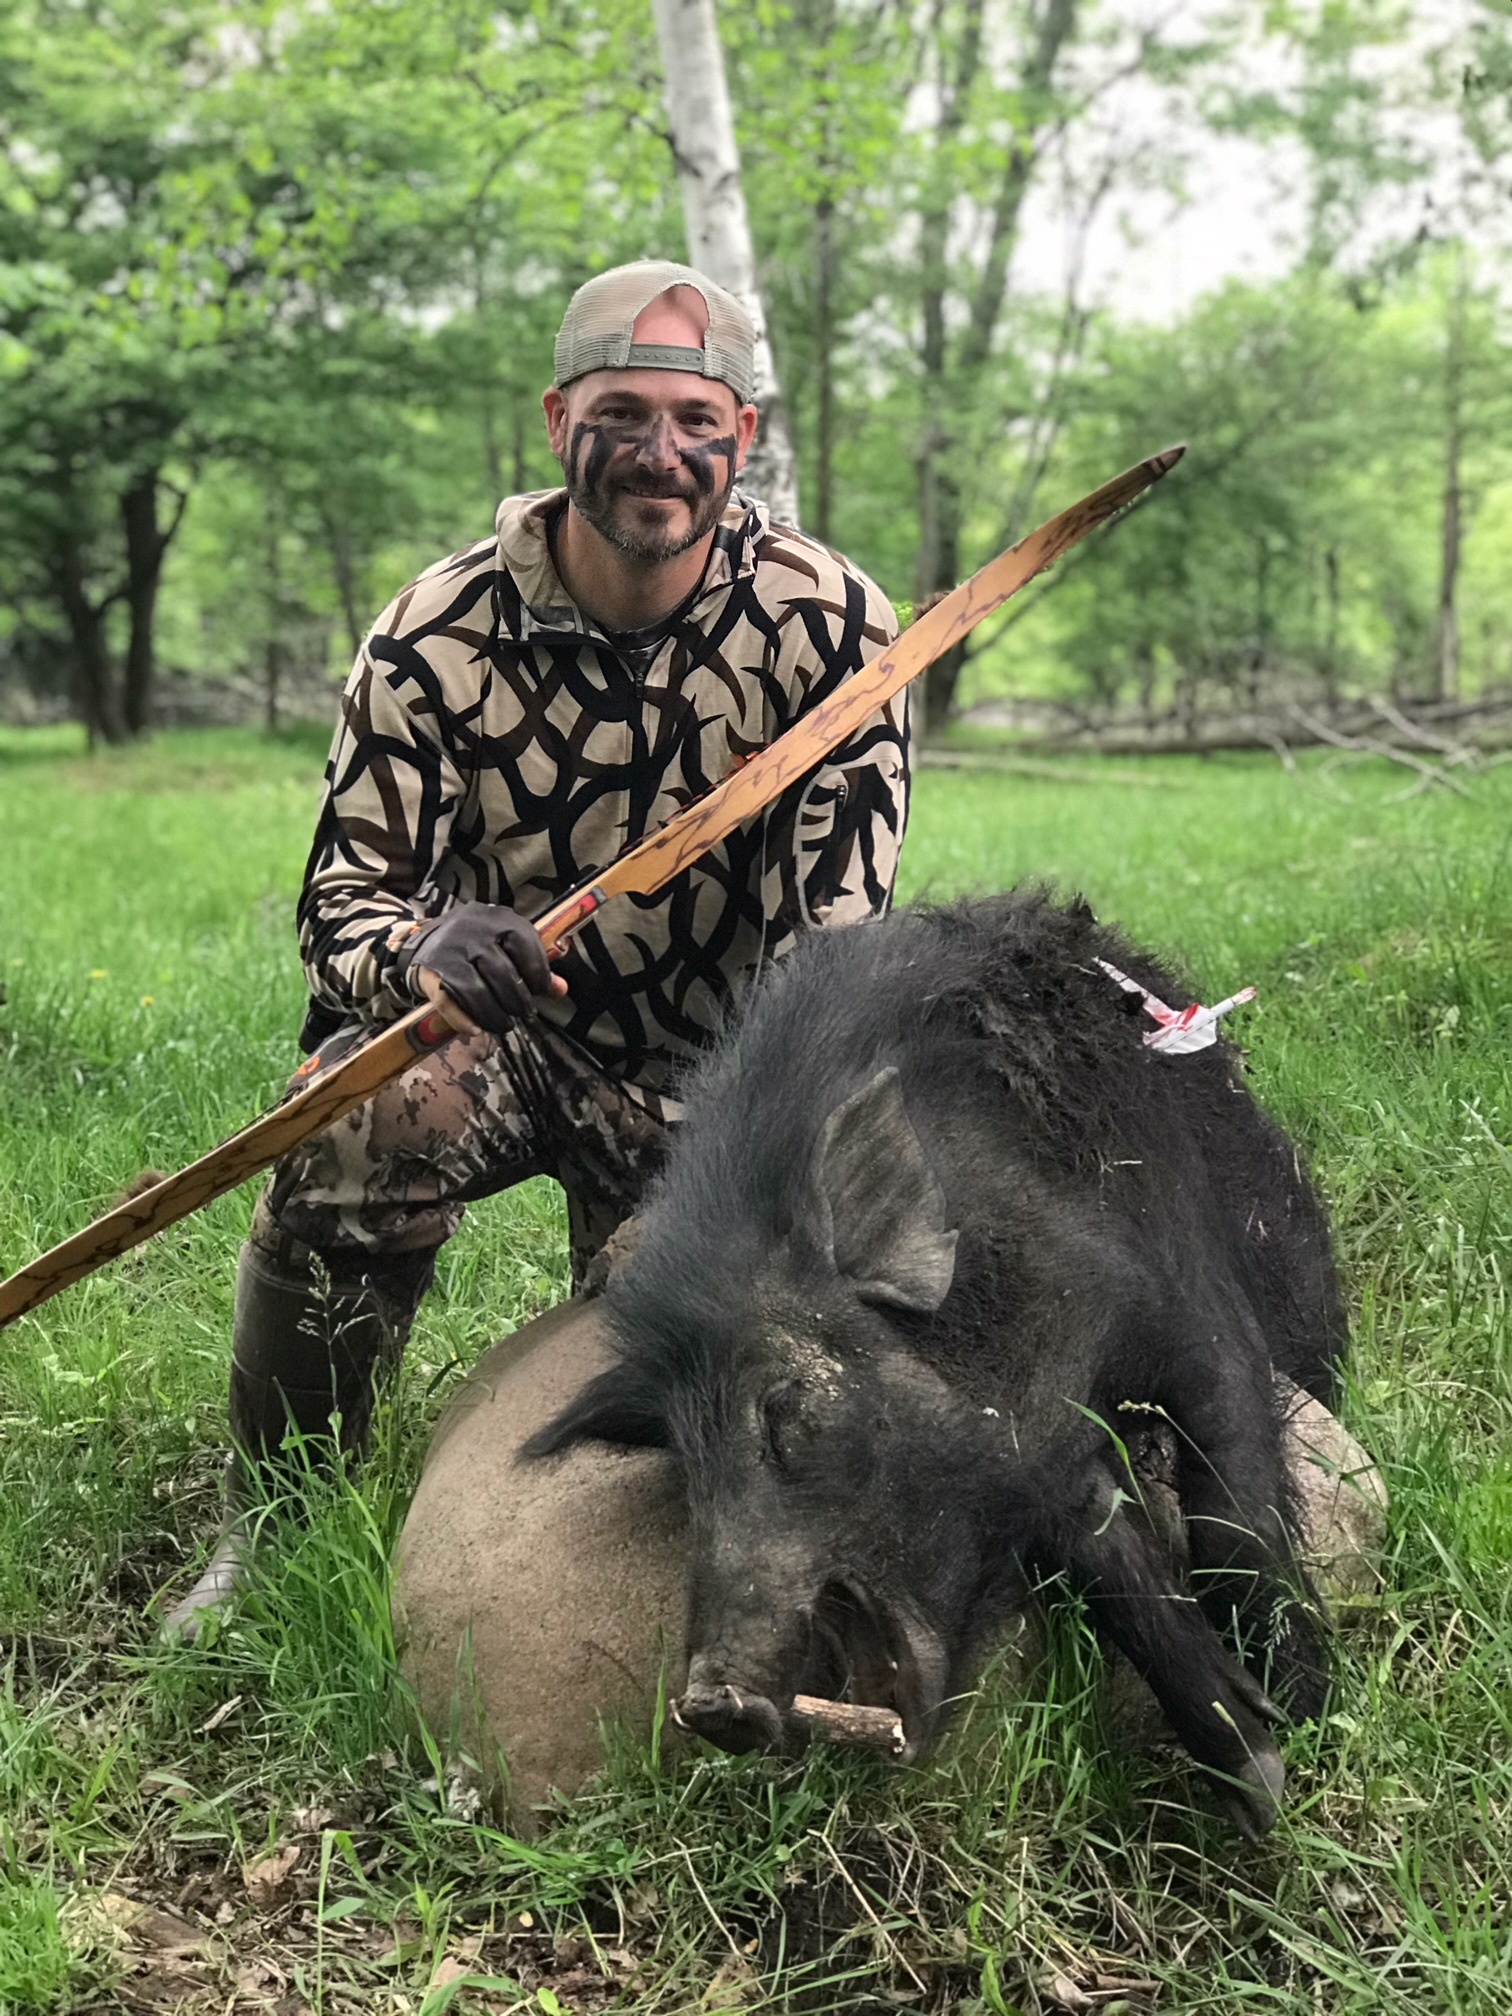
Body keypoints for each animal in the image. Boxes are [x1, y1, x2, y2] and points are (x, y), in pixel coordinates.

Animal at [526, 891, 1346, 1837]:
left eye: (782, 1409)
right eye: (684, 1467)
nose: (710, 1704)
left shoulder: (1188, 1307)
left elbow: (1232, 1516)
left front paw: (1304, 1733)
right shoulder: (1046, 1450)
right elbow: (1117, 1570)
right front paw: (1257, 1777)